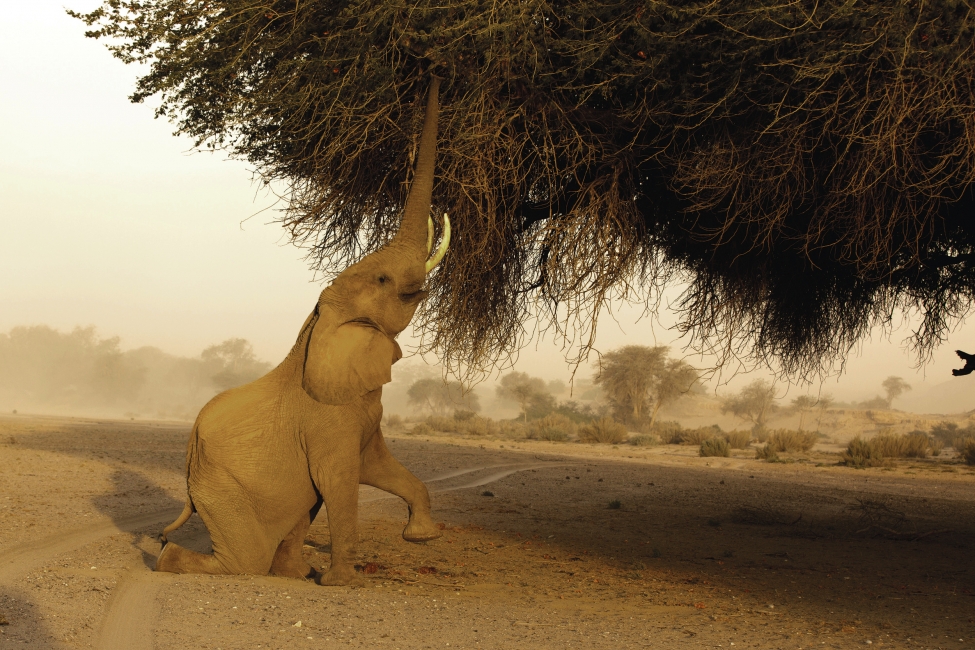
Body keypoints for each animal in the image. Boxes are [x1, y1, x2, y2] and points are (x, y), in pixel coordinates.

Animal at [155, 77, 447, 586]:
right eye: (383, 280)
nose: (431, 69)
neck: (319, 322)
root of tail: (189, 462)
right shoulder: (326, 421)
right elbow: (340, 482)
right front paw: (345, 584)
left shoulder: (359, 413)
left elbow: (378, 466)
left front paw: (423, 537)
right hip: (222, 489)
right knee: (242, 559)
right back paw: (169, 561)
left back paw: (290, 573)